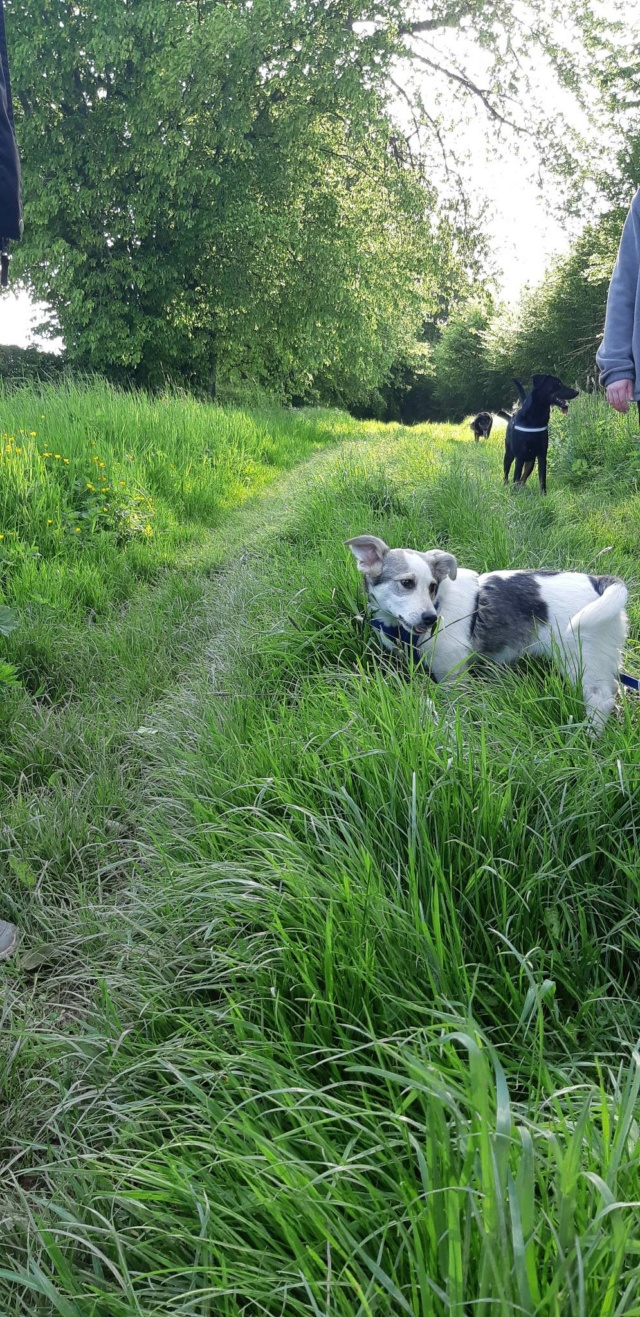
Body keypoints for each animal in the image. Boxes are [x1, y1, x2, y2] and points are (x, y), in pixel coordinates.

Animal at [347, 539, 626, 737]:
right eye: (406, 583)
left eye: (432, 586)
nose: (430, 619)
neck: (439, 604)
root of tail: (598, 582)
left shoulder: (451, 673)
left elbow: (453, 704)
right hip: (601, 656)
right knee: (611, 688)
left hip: (580, 658)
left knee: (600, 699)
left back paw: (588, 737)